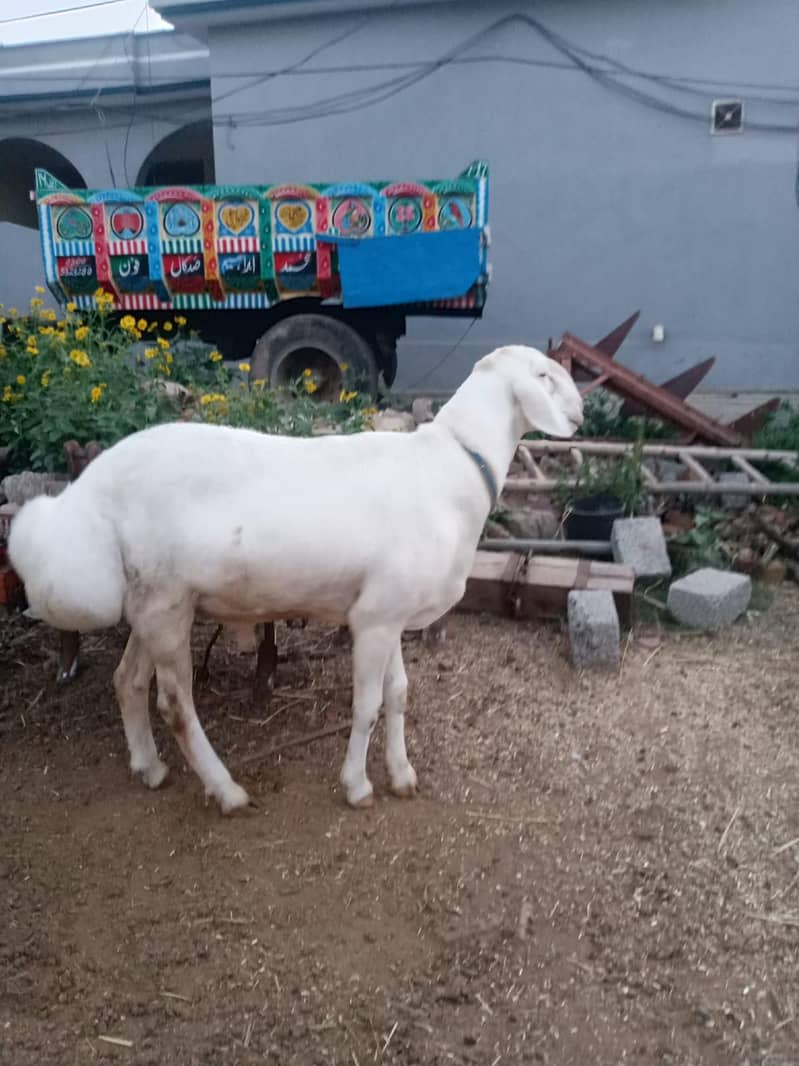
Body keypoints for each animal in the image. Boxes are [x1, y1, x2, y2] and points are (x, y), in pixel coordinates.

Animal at [8, 345, 583, 814]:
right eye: (544, 375)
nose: (579, 414)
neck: (455, 468)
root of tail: (87, 491)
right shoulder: (373, 620)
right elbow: (367, 706)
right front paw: (357, 787)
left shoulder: (390, 611)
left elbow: (399, 694)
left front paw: (401, 776)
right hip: (164, 603)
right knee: (175, 705)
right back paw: (228, 792)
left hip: (154, 601)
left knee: (127, 680)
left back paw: (150, 769)